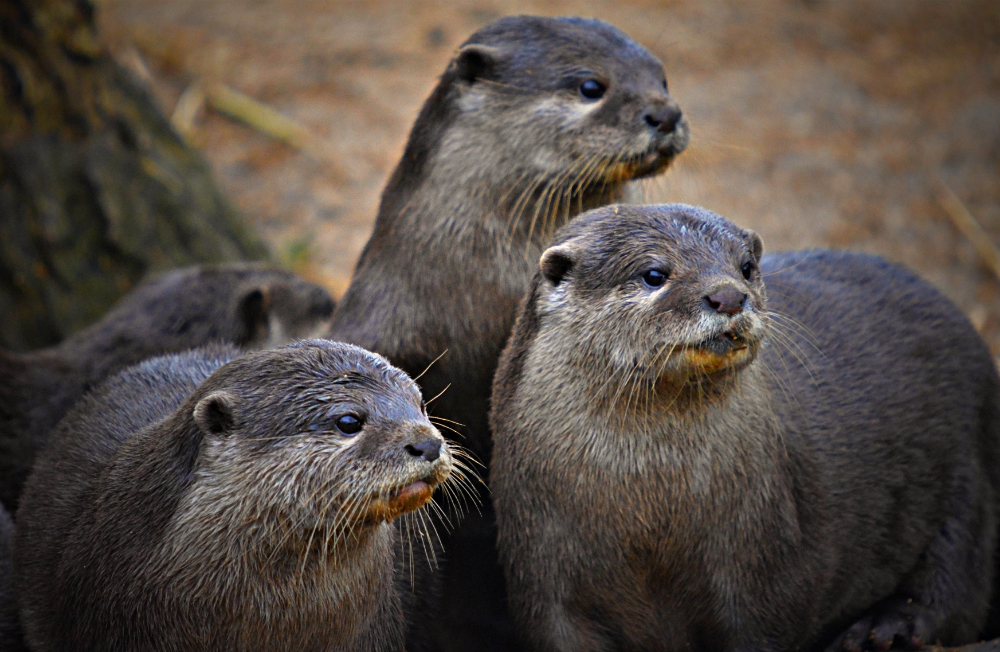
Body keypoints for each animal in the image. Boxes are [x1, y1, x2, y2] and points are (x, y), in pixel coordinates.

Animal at [491, 204, 1000, 652]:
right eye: (654, 274)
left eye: (747, 267)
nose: (730, 296)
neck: (649, 520)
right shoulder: (543, 575)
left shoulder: (764, 568)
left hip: (973, 471)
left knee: (956, 581)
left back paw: (882, 629)